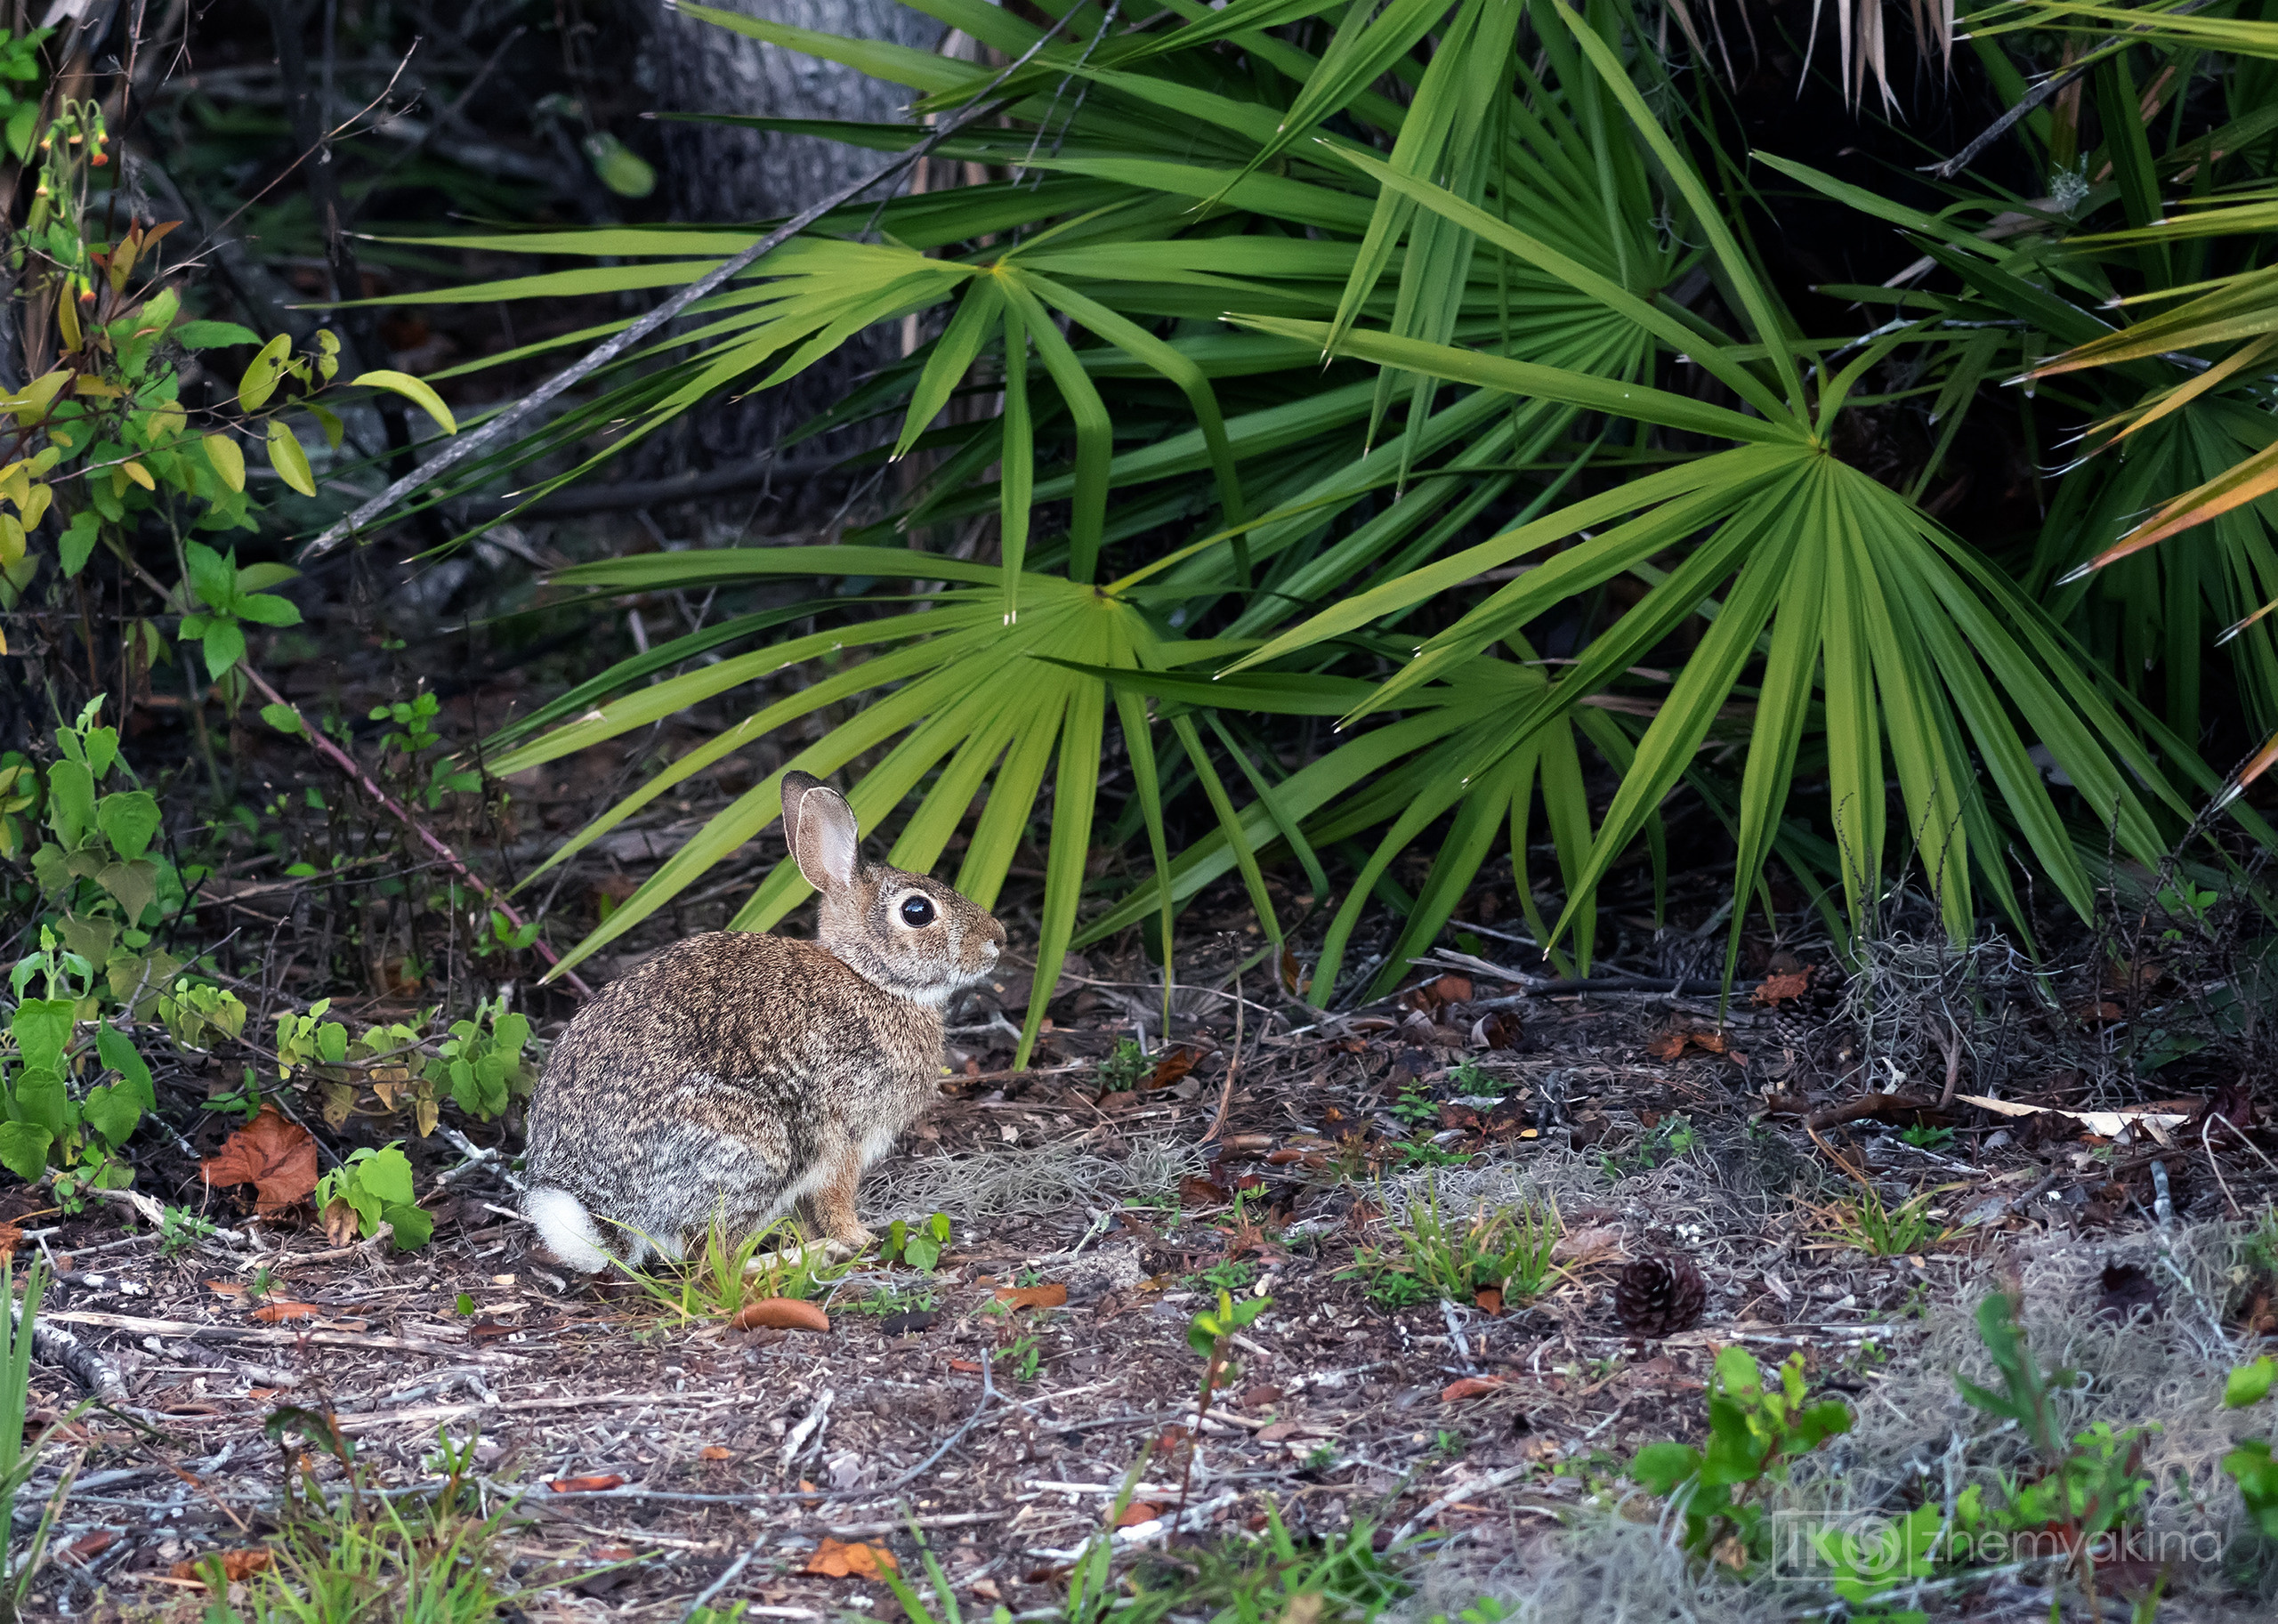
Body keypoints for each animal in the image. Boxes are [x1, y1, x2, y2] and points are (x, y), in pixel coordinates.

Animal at [521, 770, 1007, 1273]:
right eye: (917, 911)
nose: (998, 939)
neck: (868, 977)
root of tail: (610, 1217)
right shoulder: (842, 1138)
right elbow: (835, 1201)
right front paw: (859, 1239)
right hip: (758, 1149)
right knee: (714, 1259)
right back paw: (808, 1256)